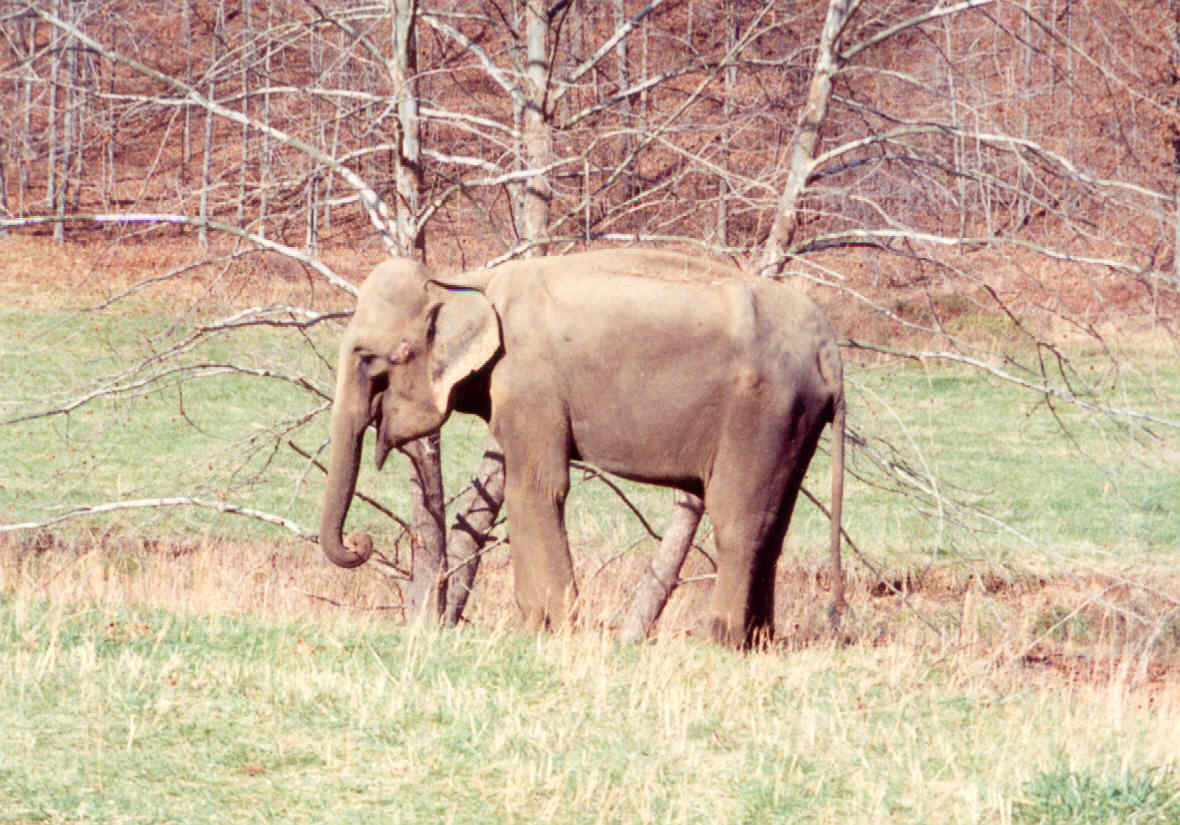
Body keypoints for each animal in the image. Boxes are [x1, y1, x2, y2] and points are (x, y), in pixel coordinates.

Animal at [319, 249, 846, 647]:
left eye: (373, 358)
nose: (360, 543)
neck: (467, 282)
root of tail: (827, 345)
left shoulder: (529, 383)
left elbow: (536, 488)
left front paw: (550, 629)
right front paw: (541, 624)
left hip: (760, 412)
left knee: (737, 519)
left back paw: (719, 640)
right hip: (795, 422)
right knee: (774, 522)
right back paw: (758, 642)